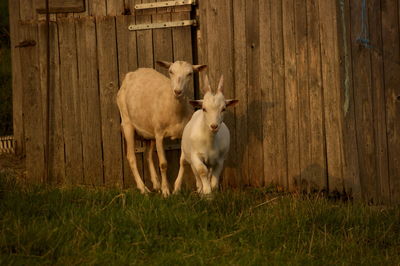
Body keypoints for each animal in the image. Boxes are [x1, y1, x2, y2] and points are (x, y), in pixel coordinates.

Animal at [116, 61, 206, 196]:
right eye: (171, 71)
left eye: (190, 73)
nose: (177, 91)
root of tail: (132, 74)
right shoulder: (159, 134)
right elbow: (163, 164)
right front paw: (165, 191)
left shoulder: (182, 134)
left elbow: (183, 161)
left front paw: (176, 188)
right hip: (127, 122)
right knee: (131, 157)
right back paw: (143, 189)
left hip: (149, 131)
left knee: (148, 155)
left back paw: (156, 184)